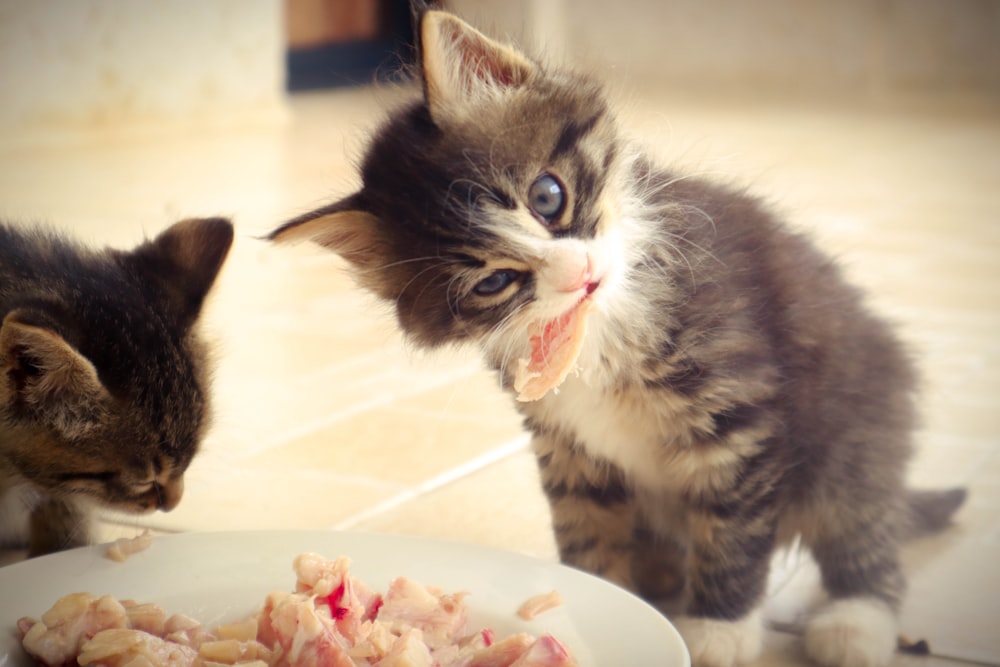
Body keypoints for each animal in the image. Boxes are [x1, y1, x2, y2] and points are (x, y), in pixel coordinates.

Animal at [270, 10, 964, 667]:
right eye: (493, 281)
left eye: (547, 195)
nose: (579, 274)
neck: (596, 329)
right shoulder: (568, 444)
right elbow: (587, 529)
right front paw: (598, 597)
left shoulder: (736, 416)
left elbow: (732, 530)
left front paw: (719, 629)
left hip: (851, 431)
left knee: (864, 534)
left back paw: (854, 623)